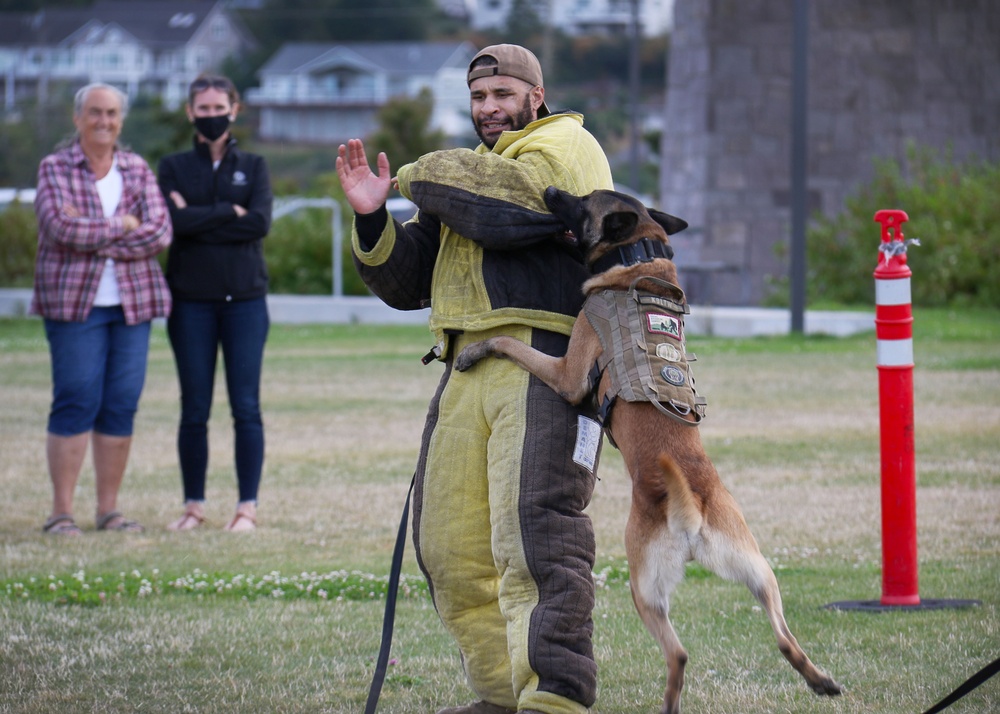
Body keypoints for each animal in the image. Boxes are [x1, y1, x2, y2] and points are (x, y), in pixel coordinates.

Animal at [456, 186, 844, 708]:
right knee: (783, 636)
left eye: (581, 201)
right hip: (759, 572)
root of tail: (691, 511)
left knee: (677, 654)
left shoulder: (569, 374)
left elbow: (509, 343)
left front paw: (474, 350)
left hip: (643, 588)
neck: (638, 257)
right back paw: (820, 680)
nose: (551, 191)